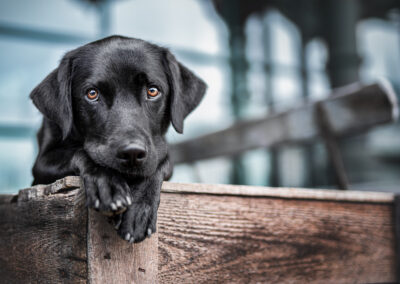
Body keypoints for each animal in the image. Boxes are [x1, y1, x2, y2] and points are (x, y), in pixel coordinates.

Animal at [30, 35, 206, 243]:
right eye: (92, 94)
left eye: (153, 91)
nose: (132, 154)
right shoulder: (41, 164)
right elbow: (83, 153)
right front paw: (108, 186)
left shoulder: (159, 151)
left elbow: (157, 164)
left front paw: (138, 211)